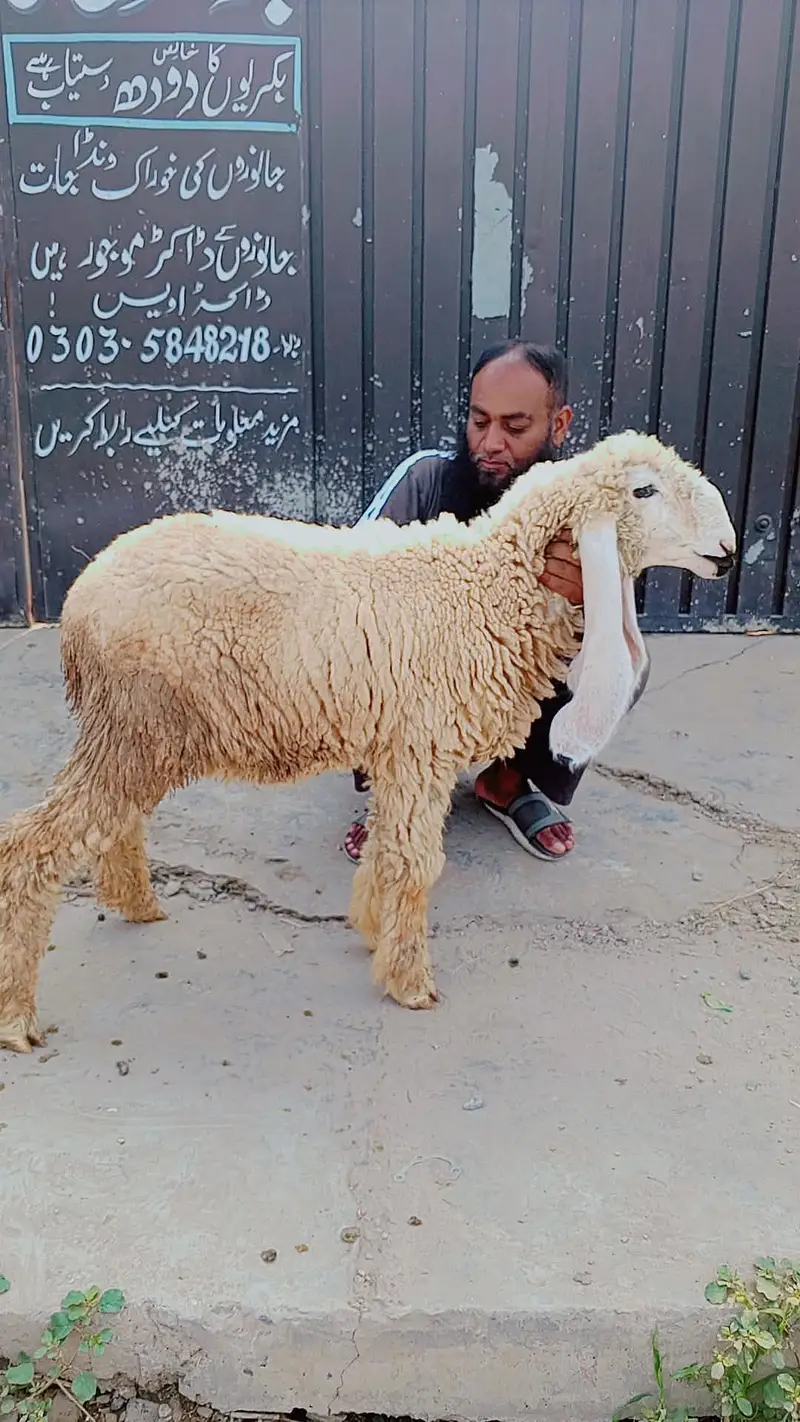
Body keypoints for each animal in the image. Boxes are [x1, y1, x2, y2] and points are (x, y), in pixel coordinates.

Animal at [0, 431, 736, 1051]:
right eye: (643, 491)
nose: (729, 550)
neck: (483, 587)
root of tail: (81, 595)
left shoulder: (398, 747)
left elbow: (387, 850)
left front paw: (372, 930)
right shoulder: (421, 747)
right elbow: (416, 864)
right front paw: (410, 982)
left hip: (139, 733)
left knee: (115, 819)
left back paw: (137, 905)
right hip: (135, 720)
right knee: (33, 846)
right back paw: (17, 1017)